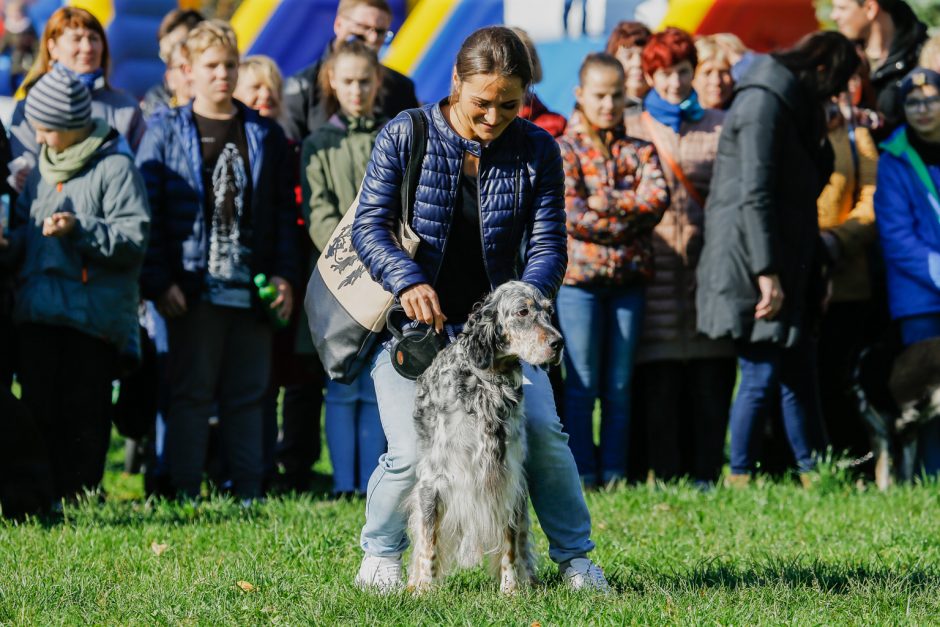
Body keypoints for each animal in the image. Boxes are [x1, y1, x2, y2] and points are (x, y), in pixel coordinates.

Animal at [406, 280, 564, 592]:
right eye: (523, 311)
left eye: (549, 312)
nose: (559, 343)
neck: (488, 386)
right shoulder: (434, 481)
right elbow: (428, 543)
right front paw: (425, 590)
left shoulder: (508, 479)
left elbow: (510, 544)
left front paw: (510, 590)